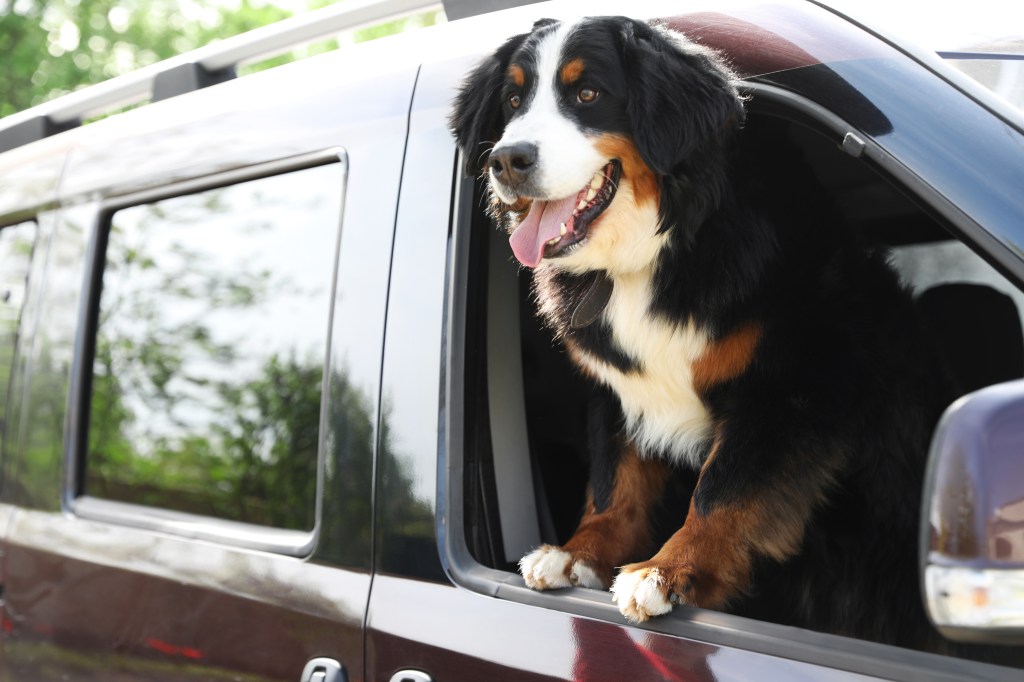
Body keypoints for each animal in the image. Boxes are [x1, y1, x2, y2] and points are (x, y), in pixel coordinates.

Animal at [452, 15, 954, 651]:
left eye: (587, 93)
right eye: (513, 101)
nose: (507, 159)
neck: (653, 253)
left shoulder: (793, 383)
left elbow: (724, 487)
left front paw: (665, 571)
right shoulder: (617, 388)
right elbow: (614, 482)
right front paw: (577, 553)